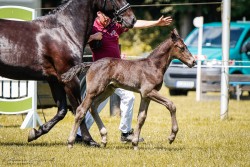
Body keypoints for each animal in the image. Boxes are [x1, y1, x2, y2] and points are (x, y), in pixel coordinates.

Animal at [62, 28, 195, 150]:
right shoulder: (148, 91)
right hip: (93, 91)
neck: (153, 66)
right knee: (81, 110)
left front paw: (135, 143)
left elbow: (141, 117)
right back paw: (70, 142)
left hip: (107, 90)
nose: (193, 61)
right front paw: (172, 136)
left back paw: (104, 138)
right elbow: (171, 105)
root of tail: (91, 64)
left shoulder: (145, 95)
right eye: (181, 47)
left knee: (93, 107)